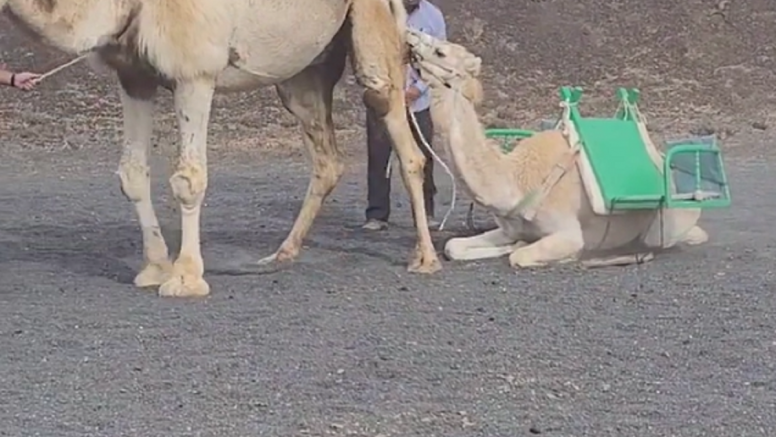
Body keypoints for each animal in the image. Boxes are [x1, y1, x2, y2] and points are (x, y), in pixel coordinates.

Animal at [1, 0, 443, 297]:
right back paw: (281, 254)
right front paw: (154, 268)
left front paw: (185, 277)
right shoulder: (134, 76)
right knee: (327, 160)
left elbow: (188, 178)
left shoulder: (195, 72)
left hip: (373, 31)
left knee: (400, 134)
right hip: (303, 73)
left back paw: (425, 259)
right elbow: (132, 174)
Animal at [405, 30, 710, 268]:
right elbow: (453, 246)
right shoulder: (508, 227)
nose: (410, 35)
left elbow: (521, 256)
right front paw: (511, 244)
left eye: (441, 51)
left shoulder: (567, 232)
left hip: (667, 223)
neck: (515, 181)